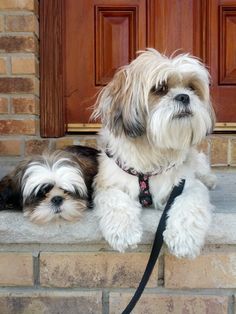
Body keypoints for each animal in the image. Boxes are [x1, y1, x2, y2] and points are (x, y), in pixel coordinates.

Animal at [91, 48, 216, 258]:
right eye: (160, 88)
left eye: (191, 87)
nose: (184, 96)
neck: (153, 152)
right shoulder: (109, 184)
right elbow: (115, 200)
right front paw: (123, 232)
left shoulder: (185, 185)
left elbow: (189, 202)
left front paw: (184, 239)